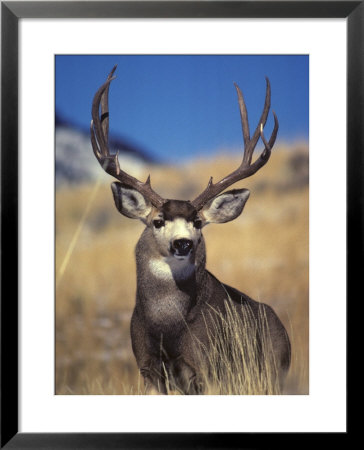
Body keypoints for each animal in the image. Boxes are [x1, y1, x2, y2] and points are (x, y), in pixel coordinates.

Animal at [90, 66, 290, 394]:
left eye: (197, 222)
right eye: (157, 221)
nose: (182, 243)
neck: (167, 327)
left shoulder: (205, 365)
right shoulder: (147, 367)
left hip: (272, 372)